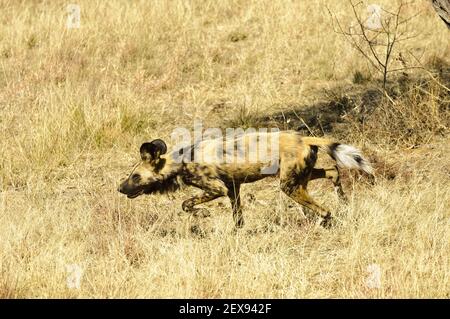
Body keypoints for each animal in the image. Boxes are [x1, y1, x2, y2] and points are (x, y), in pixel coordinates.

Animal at [117, 131, 372, 229]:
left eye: (135, 176)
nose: (120, 188)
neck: (182, 161)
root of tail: (304, 139)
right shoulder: (233, 189)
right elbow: (238, 219)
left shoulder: (217, 189)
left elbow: (186, 204)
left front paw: (203, 214)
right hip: (301, 178)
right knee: (333, 171)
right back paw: (343, 203)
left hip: (289, 186)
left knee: (325, 210)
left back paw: (323, 223)